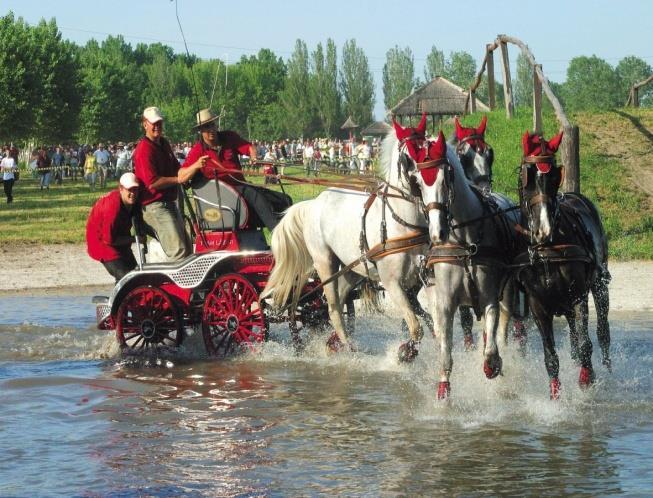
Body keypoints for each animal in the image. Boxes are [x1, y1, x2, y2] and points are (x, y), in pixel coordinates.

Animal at [260, 118, 432, 358]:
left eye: (429, 145)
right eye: (411, 151)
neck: (401, 220)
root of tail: (312, 204)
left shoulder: (418, 279)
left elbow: (429, 319)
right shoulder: (392, 282)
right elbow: (416, 327)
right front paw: (404, 353)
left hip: (351, 267)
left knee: (338, 301)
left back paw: (334, 342)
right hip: (324, 262)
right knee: (332, 308)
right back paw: (349, 347)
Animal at [400, 126, 516, 398]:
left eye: (446, 178)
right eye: (418, 182)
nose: (437, 233)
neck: (464, 242)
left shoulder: (489, 296)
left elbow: (491, 348)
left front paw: (493, 364)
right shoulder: (444, 302)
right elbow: (445, 354)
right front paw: (443, 392)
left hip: (509, 290)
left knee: (505, 322)